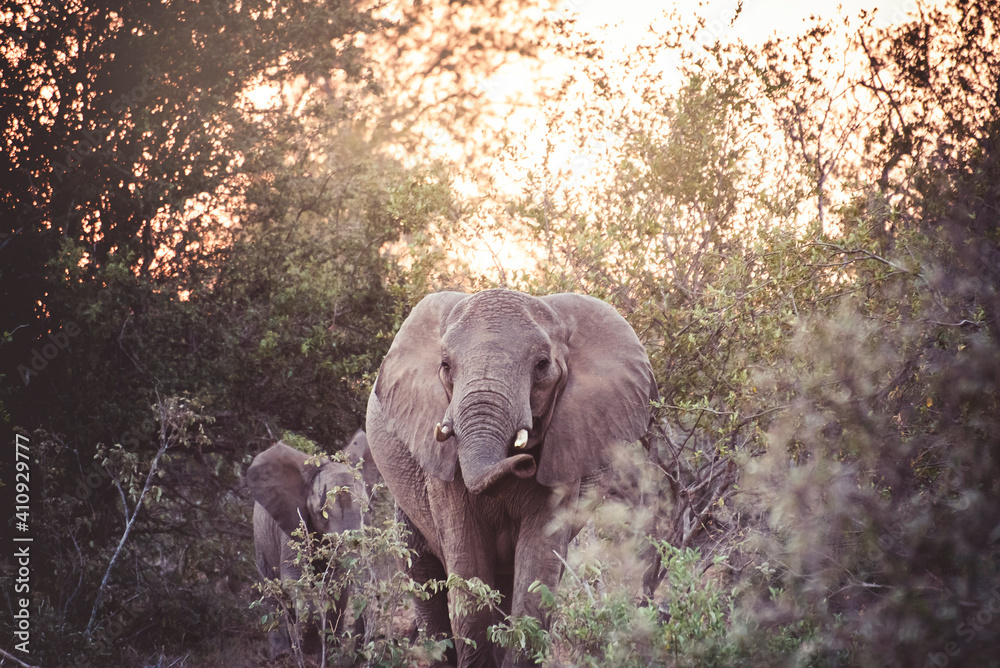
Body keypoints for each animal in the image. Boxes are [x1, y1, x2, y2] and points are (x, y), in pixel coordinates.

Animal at [248, 430, 371, 658]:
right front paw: (309, 651)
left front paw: (327, 653)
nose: (359, 652)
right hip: (260, 540)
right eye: (321, 512)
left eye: (366, 508)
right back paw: (282, 655)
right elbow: (294, 579)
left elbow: (337, 584)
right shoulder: (293, 525)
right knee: (273, 591)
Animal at [366, 289, 656, 667]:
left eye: (542, 365)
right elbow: (469, 579)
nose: (525, 461)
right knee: (423, 575)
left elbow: (536, 577)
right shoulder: (440, 467)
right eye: (445, 366)